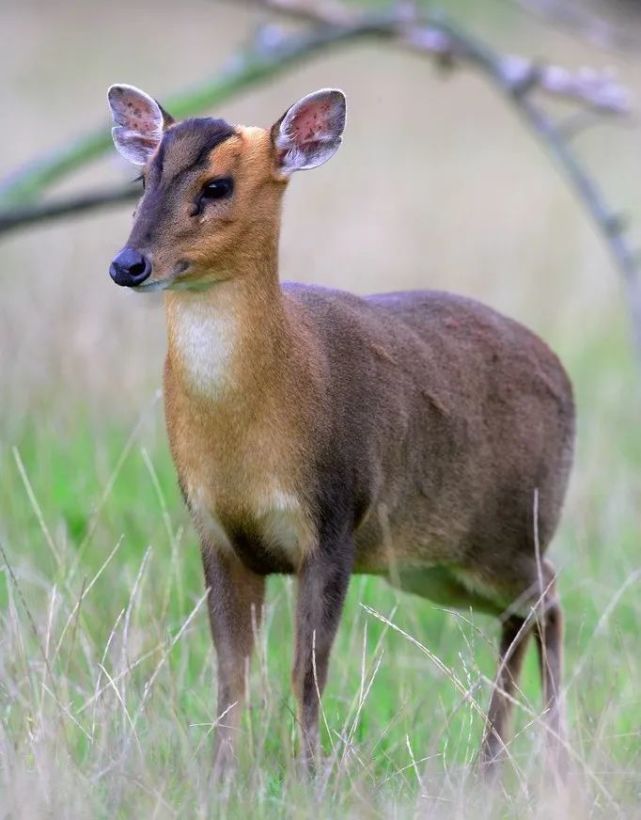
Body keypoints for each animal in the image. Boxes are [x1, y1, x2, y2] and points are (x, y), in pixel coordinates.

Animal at [106, 83, 576, 776]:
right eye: (143, 177)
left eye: (218, 185)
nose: (127, 264)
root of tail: (563, 375)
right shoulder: (216, 531)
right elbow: (230, 673)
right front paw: (219, 775)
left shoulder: (333, 520)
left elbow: (308, 672)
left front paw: (310, 775)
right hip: (441, 565)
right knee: (524, 614)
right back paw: (496, 767)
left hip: (514, 524)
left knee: (549, 599)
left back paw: (545, 762)